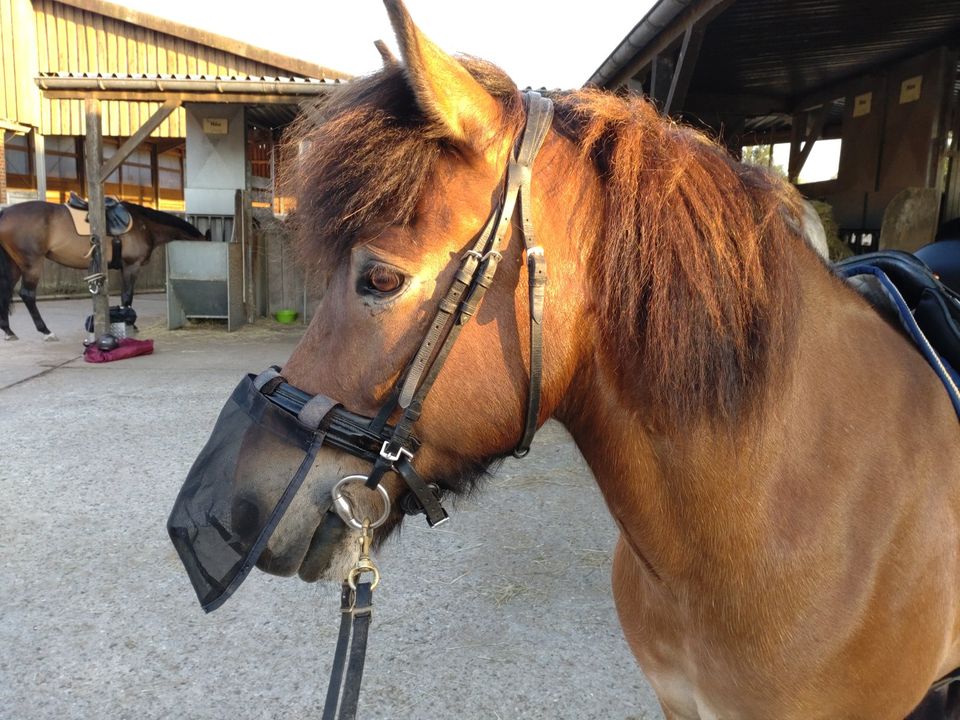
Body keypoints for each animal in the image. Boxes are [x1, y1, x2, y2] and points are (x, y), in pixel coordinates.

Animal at [0, 200, 206, 340]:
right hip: (31, 264)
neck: (144, 225)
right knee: (27, 294)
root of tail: (5, 213)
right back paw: (46, 331)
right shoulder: (131, 266)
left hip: (15, 265)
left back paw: (9, 331)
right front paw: (131, 324)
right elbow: (127, 297)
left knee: (7, 292)